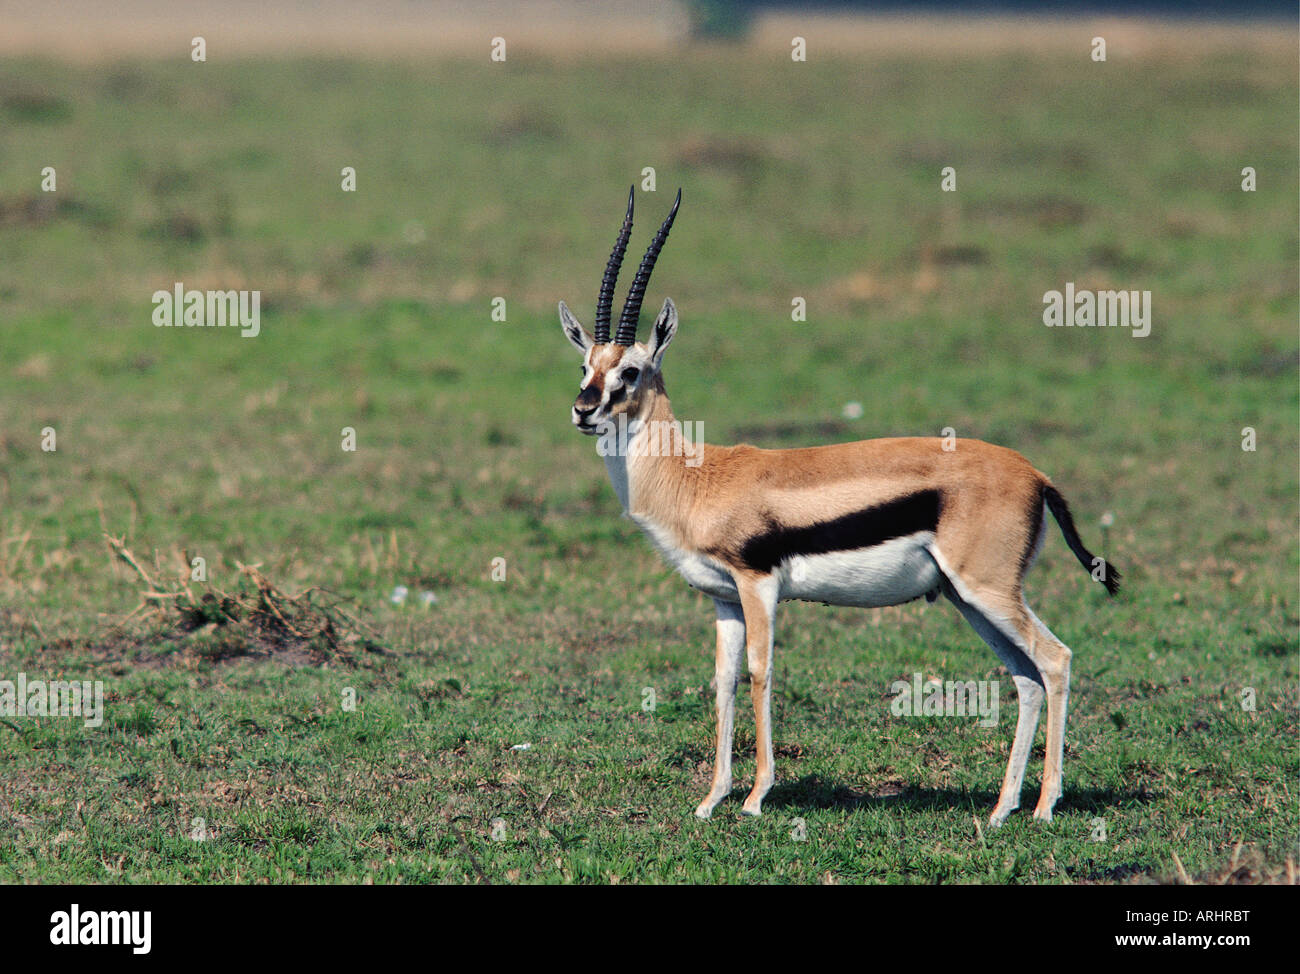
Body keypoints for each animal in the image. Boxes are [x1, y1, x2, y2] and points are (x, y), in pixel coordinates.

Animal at [558, 188, 1121, 826]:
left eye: (630, 371)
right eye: (585, 366)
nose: (583, 410)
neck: (696, 476)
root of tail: (1036, 474)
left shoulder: (758, 586)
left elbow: (760, 673)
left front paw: (755, 798)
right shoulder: (724, 598)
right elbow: (723, 681)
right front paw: (710, 800)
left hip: (988, 589)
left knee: (1055, 660)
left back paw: (1045, 807)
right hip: (968, 597)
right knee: (1025, 677)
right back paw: (1003, 809)